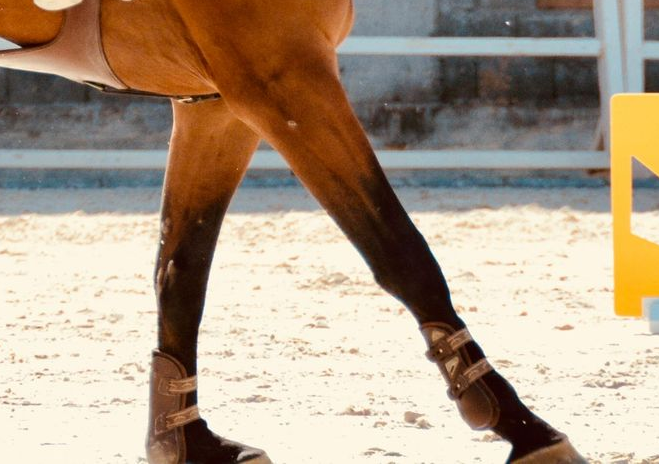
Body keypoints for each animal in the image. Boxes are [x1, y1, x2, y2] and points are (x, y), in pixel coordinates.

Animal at [0, 1, 588, 462]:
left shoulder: (216, 105)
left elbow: (182, 272)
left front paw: (186, 443)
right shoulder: (283, 78)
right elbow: (398, 249)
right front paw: (522, 427)